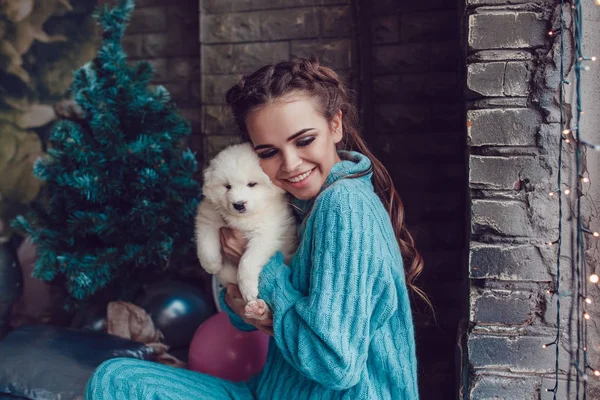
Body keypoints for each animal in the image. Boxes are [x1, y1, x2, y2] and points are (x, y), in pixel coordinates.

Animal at [196, 142, 296, 320]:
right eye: (227, 186)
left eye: (252, 184)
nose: (238, 204)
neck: (243, 219)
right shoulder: (209, 216)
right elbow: (206, 243)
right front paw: (212, 265)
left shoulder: (266, 234)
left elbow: (247, 261)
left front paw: (248, 289)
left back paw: (258, 309)